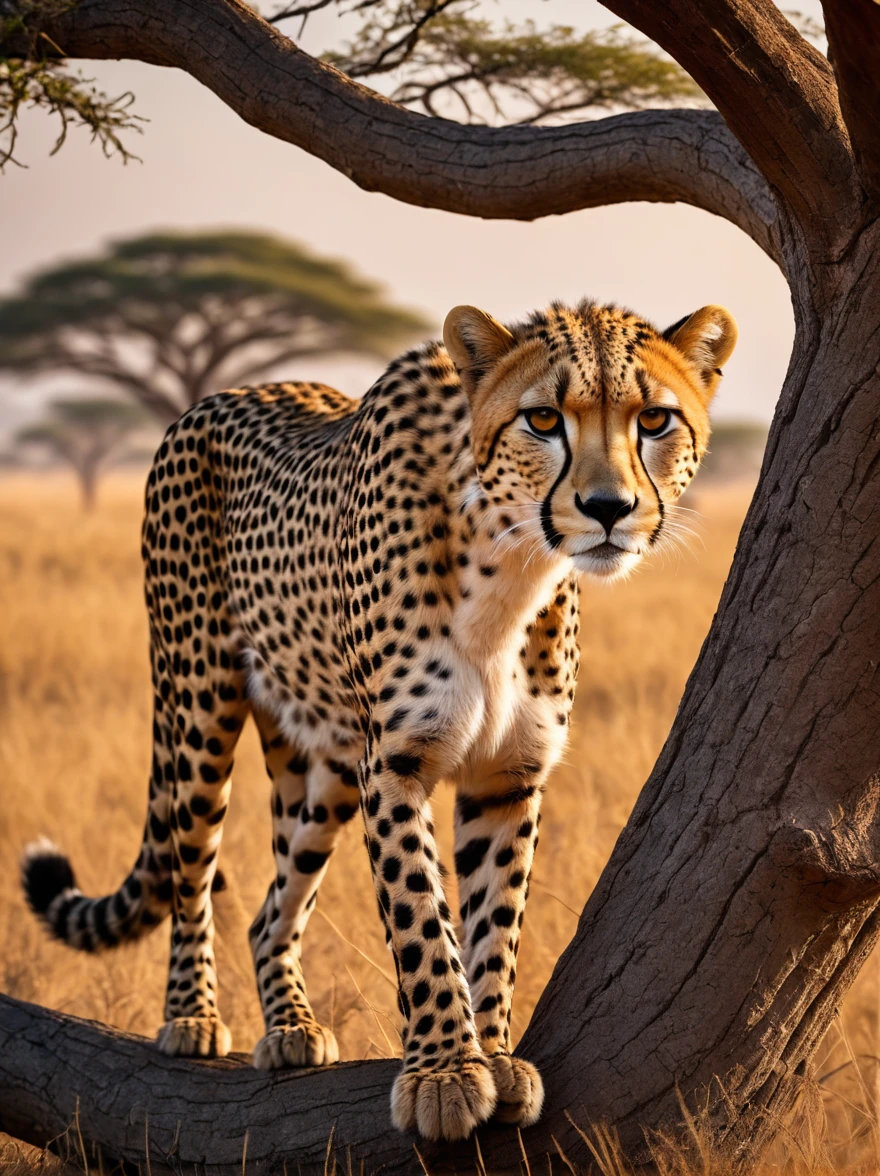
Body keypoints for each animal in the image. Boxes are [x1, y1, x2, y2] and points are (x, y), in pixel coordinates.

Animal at [22, 299, 737, 1142]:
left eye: (655, 420)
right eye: (543, 419)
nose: (608, 510)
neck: (511, 565)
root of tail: (216, 397)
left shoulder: (506, 776)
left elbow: (495, 923)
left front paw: (493, 1053)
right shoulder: (395, 764)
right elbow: (421, 919)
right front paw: (444, 1074)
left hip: (325, 760)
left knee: (272, 908)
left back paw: (290, 1025)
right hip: (200, 704)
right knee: (190, 869)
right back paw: (191, 1015)